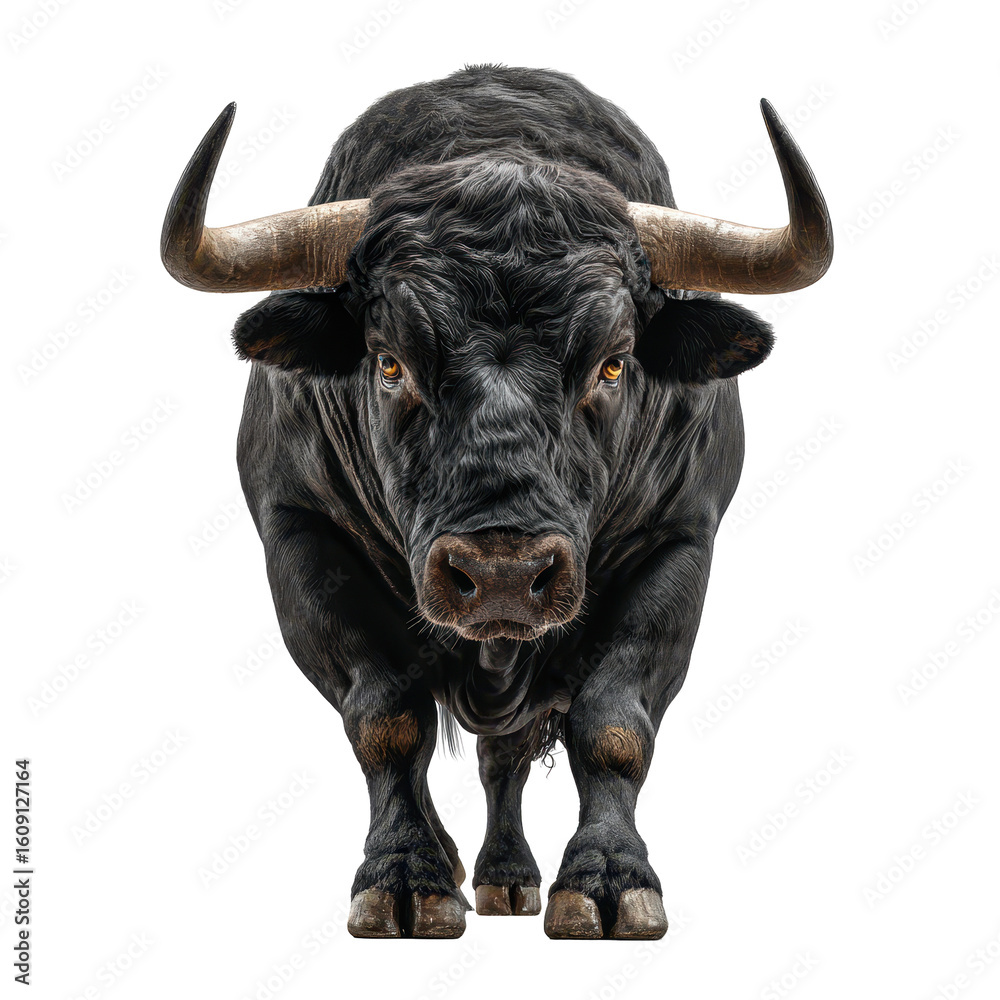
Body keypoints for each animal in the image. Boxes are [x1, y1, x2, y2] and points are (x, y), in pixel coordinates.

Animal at [161, 65, 832, 940]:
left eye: (613, 364)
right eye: (389, 362)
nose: (503, 575)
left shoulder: (680, 540)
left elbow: (612, 724)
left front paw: (610, 879)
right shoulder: (298, 531)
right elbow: (386, 718)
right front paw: (404, 877)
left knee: (505, 752)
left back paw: (507, 875)